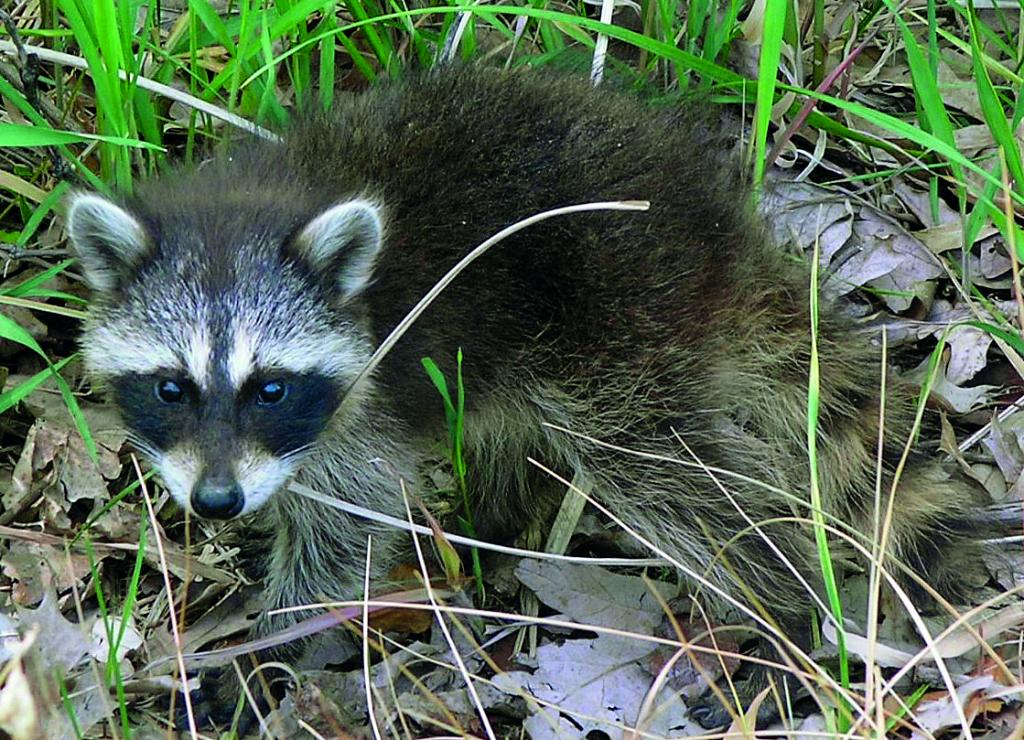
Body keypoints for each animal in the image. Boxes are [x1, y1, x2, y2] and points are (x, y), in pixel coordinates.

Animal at [66, 66, 991, 724]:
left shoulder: (361, 405)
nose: (217, 503)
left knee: (673, 477)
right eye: (171, 388)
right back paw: (498, 530)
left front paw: (266, 648)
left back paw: (779, 606)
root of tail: (721, 233)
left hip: (621, 318)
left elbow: (347, 529)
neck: (247, 210)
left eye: (270, 388)